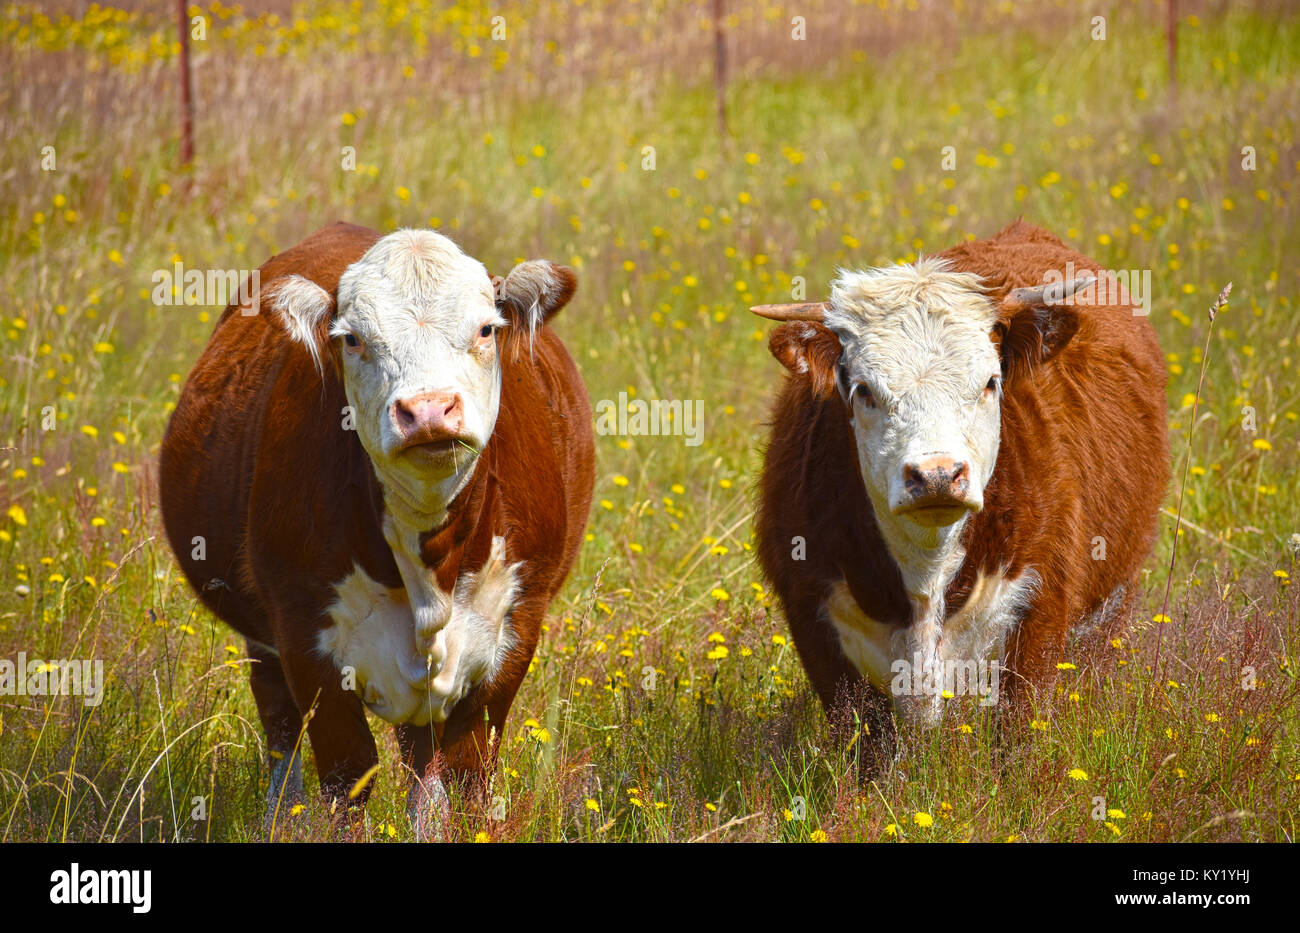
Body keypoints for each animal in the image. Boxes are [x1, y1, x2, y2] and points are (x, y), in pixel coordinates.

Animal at [754, 223, 1170, 764]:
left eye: (991, 381)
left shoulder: (1039, 614)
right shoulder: (814, 620)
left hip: (1113, 597)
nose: (936, 474)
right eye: (864, 390)